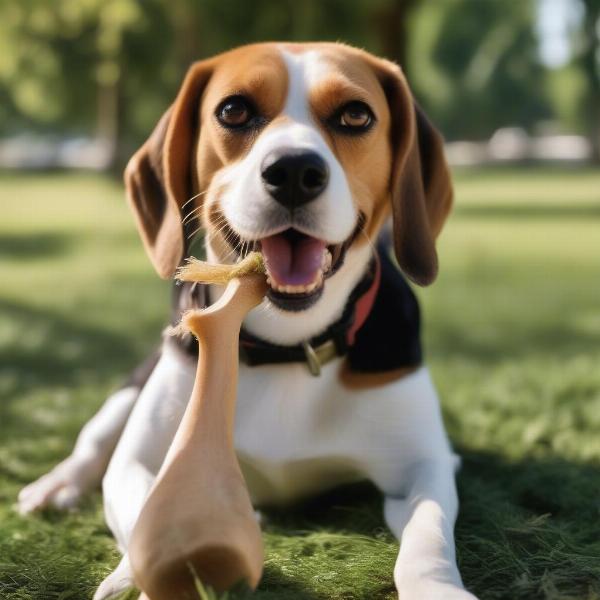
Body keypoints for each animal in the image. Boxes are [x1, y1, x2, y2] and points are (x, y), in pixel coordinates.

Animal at [19, 43, 478, 600]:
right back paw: (56, 484)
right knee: (94, 440)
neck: (288, 346)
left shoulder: (424, 465)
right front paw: (137, 575)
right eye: (234, 110)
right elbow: (145, 501)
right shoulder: (137, 461)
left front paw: (440, 588)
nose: (295, 170)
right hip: (131, 389)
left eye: (356, 115)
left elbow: (428, 534)